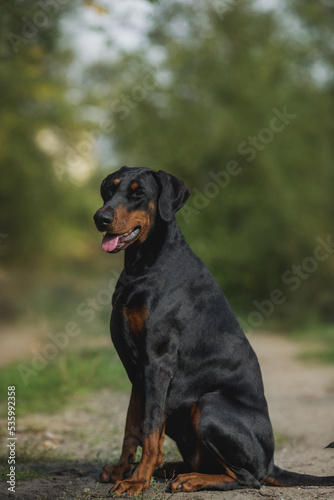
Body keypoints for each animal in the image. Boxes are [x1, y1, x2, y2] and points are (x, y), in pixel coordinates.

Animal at [94, 166, 334, 494]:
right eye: (110, 189)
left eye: (138, 193)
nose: (100, 217)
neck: (143, 265)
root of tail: (272, 463)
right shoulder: (137, 370)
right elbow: (132, 426)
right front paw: (121, 470)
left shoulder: (157, 363)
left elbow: (149, 430)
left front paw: (136, 480)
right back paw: (171, 469)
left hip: (208, 406)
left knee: (249, 479)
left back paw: (189, 479)